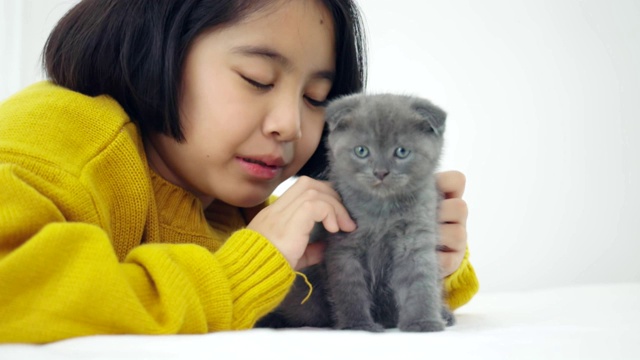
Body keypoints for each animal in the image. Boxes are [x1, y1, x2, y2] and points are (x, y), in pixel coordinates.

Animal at [258, 92, 452, 332]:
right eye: (362, 151)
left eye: (402, 152)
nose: (380, 172)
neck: (381, 210)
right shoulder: (344, 247)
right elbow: (350, 290)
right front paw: (357, 325)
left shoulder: (415, 239)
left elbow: (420, 283)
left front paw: (423, 322)